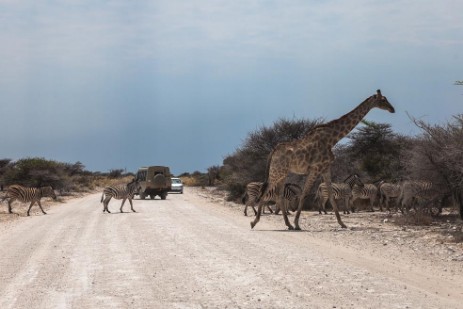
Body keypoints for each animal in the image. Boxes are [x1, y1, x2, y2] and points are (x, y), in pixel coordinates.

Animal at [252, 89, 396, 229]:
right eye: (383, 99)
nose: (392, 109)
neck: (331, 139)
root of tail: (273, 151)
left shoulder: (325, 168)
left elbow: (331, 195)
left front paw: (342, 223)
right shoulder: (315, 168)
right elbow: (304, 194)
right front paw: (297, 223)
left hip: (283, 173)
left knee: (278, 194)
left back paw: (287, 224)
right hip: (277, 171)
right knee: (265, 191)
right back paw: (255, 222)